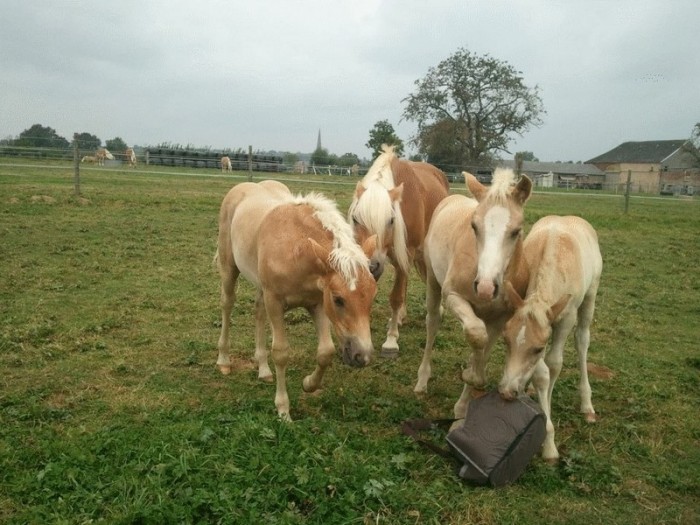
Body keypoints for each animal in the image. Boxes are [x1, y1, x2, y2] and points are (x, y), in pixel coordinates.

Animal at [216, 179, 378, 418]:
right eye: (338, 299)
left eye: (372, 296)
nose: (362, 356)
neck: (296, 248)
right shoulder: (275, 302)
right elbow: (281, 353)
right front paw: (283, 410)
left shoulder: (318, 303)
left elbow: (326, 352)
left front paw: (308, 384)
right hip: (229, 268)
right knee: (227, 304)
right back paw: (224, 360)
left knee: (258, 312)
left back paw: (263, 369)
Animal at [346, 144, 448, 356]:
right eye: (356, 219)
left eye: (391, 220)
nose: (371, 265)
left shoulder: (406, 254)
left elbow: (396, 297)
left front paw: (391, 341)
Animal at [412, 171, 532, 418]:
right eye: (474, 227)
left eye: (516, 231)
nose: (486, 287)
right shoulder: (453, 295)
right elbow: (476, 334)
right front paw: (470, 374)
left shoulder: (500, 319)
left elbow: (482, 350)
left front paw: (463, 405)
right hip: (433, 282)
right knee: (433, 323)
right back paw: (422, 382)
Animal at [500, 215, 604, 460]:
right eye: (505, 341)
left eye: (537, 348)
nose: (506, 393)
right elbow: (541, 373)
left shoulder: (565, 318)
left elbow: (554, 364)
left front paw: (549, 445)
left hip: (591, 294)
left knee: (582, 340)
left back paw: (587, 405)